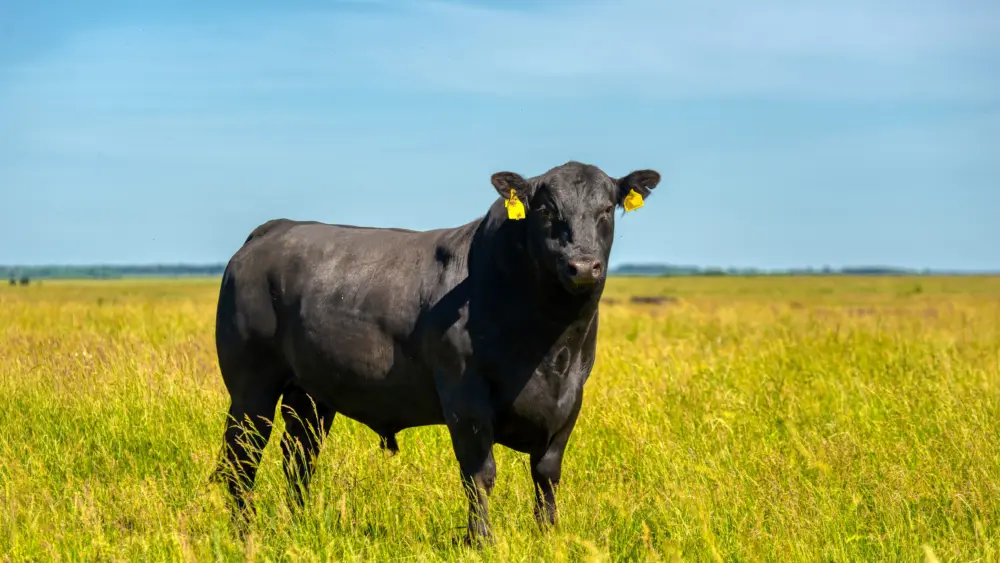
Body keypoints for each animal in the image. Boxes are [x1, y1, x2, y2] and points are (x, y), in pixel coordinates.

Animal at [210, 160, 662, 544]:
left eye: (606, 209)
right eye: (547, 210)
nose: (582, 266)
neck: (550, 347)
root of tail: (274, 229)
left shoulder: (570, 399)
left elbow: (547, 474)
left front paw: (548, 535)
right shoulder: (465, 396)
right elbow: (480, 474)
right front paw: (481, 540)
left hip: (310, 395)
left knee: (299, 457)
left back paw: (298, 524)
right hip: (251, 388)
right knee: (241, 457)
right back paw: (242, 534)